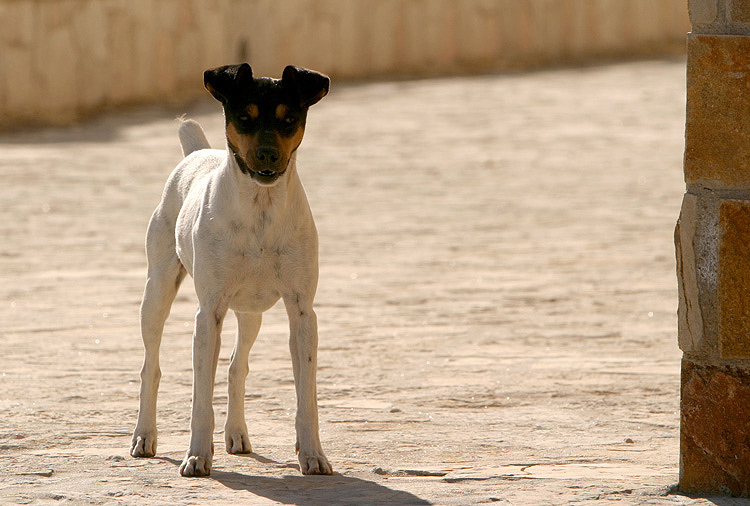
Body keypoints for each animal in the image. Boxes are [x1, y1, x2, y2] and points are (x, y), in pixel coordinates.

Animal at [129, 64, 332, 478]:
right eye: (245, 117)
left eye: (290, 118)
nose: (268, 153)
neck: (260, 209)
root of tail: (196, 153)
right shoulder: (209, 314)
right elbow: (200, 398)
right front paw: (196, 456)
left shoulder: (303, 313)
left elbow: (306, 396)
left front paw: (312, 453)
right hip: (156, 294)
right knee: (150, 368)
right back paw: (145, 435)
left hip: (250, 314)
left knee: (237, 368)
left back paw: (237, 433)